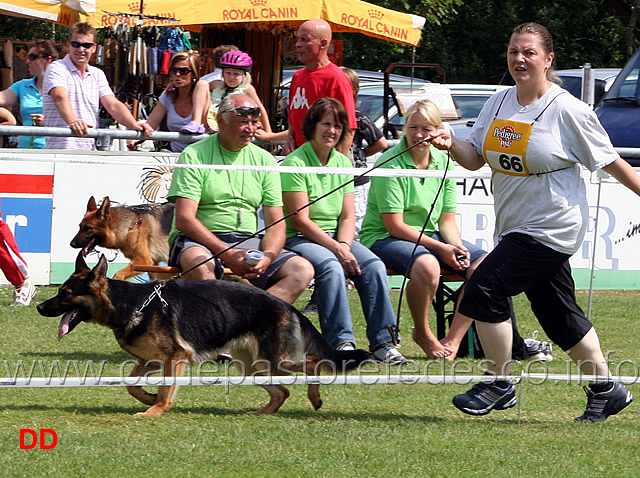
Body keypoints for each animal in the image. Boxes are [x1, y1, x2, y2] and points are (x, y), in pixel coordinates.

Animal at [37, 256, 370, 416]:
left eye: (65, 293)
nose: (39, 307)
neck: (130, 304)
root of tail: (287, 305)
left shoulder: (175, 358)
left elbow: (165, 390)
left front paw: (155, 410)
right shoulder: (151, 361)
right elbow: (132, 385)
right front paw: (147, 398)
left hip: (276, 361)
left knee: (315, 363)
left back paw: (314, 397)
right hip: (253, 366)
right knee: (282, 392)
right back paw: (262, 412)